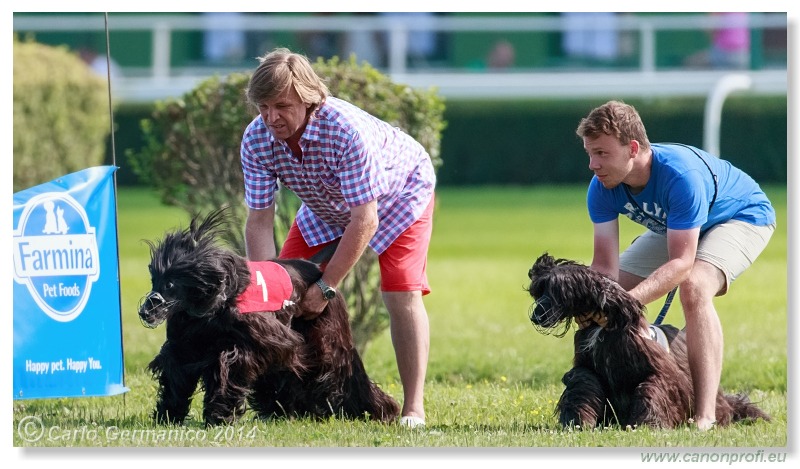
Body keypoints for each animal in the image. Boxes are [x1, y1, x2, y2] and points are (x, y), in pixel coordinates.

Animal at [139, 208, 400, 424]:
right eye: (154, 280)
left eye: (170, 284)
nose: (145, 311)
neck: (213, 305)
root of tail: (315, 268)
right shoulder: (185, 346)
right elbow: (176, 376)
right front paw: (168, 415)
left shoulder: (258, 345)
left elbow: (228, 369)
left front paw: (219, 415)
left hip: (327, 336)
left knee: (341, 367)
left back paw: (379, 411)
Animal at [524, 252, 768, 428]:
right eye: (540, 290)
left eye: (558, 291)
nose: (536, 316)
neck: (604, 325)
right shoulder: (586, 366)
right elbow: (583, 385)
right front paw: (578, 422)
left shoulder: (659, 373)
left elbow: (650, 390)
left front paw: (648, 424)